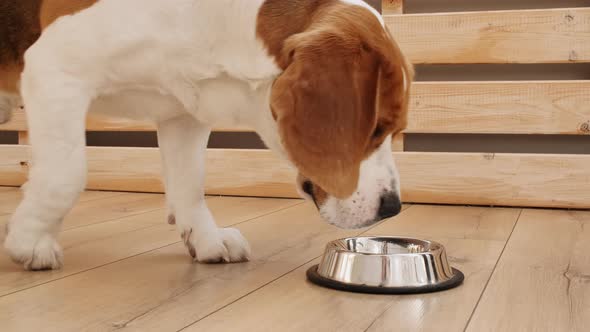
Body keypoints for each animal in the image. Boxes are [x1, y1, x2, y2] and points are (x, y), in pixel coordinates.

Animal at [1, 0, 416, 270]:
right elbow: (65, 178)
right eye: (376, 129)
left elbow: (190, 187)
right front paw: (30, 240)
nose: (393, 207)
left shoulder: (183, 113)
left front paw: (205, 239)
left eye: (393, 130)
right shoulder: (56, 69)